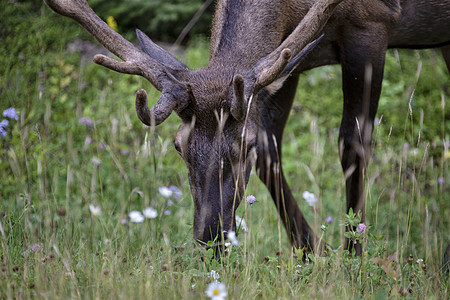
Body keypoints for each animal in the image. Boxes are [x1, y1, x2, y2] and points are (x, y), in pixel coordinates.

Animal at [44, 0, 448, 256]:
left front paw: (353, 256)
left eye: (244, 146)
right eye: (178, 145)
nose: (210, 240)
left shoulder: (371, 25)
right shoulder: (289, 62)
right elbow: (273, 150)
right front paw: (313, 253)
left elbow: (353, 143)